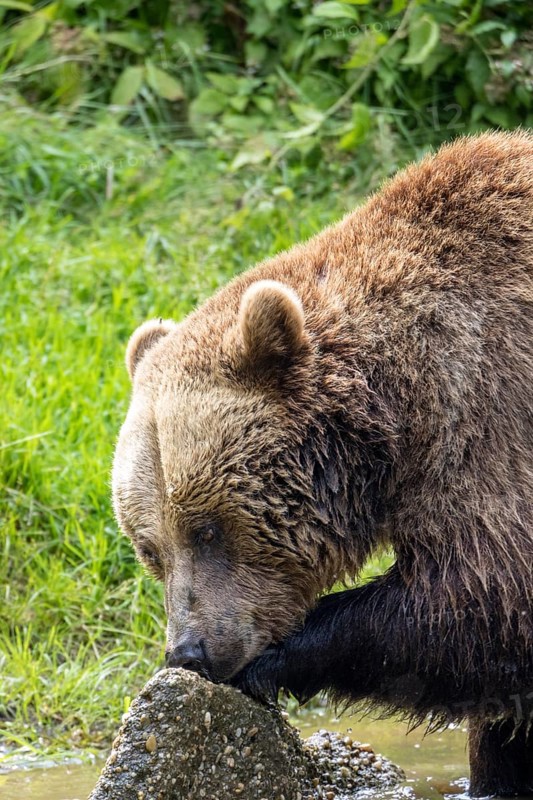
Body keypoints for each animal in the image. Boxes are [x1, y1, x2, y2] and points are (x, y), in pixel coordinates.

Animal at [112, 131, 533, 797]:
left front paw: (278, 658)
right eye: (149, 549)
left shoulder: (491, 412)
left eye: (208, 529)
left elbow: (485, 592)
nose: (190, 653)